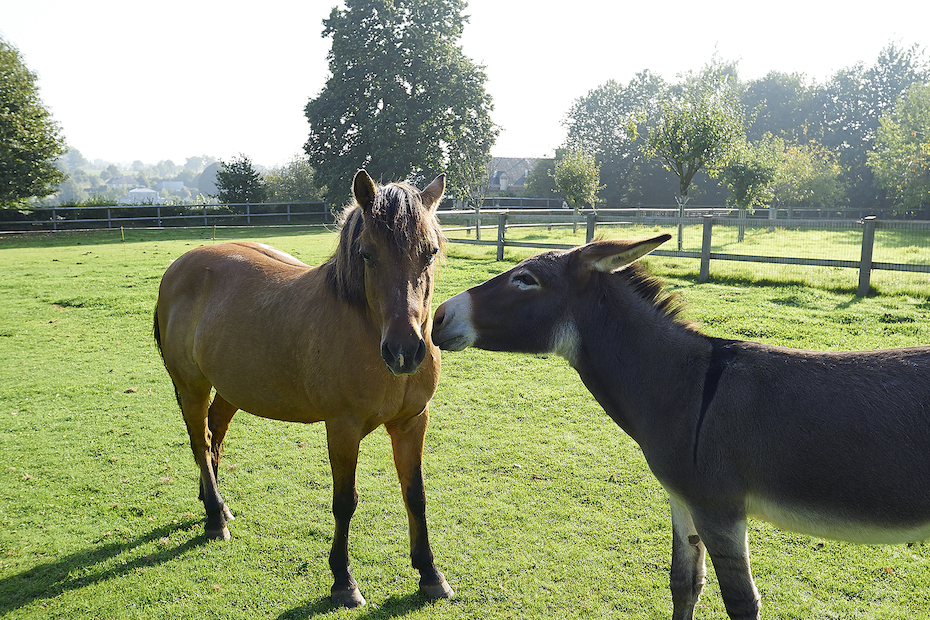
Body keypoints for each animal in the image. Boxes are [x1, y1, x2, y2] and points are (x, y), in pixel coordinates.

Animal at [154, 168, 452, 604]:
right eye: (367, 254)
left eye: (429, 252)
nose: (403, 351)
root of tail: (178, 268)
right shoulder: (342, 428)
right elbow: (345, 502)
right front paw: (343, 581)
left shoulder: (412, 421)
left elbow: (416, 495)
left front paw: (430, 573)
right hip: (191, 385)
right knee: (201, 442)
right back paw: (215, 519)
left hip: (230, 389)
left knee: (214, 436)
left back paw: (216, 507)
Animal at [432, 232, 928, 620]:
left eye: (526, 280)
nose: (437, 315)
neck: (687, 385)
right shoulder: (682, 500)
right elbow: (684, 584)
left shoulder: (718, 509)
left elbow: (741, 602)